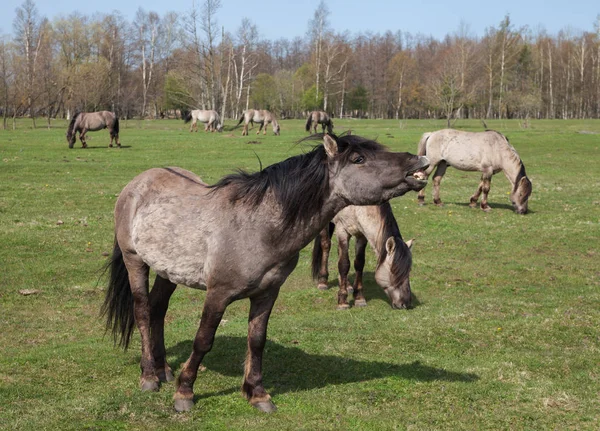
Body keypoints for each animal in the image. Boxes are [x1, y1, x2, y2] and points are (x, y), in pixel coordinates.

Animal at [103, 132, 432, 416]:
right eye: (358, 159)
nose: (419, 161)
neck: (258, 225)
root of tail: (136, 184)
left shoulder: (267, 293)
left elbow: (257, 340)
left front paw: (257, 393)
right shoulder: (217, 293)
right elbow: (203, 340)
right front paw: (185, 392)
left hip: (168, 272)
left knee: (158, 309)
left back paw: (163, 369)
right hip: (135, 262)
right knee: (143, 311)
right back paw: (149, 376)